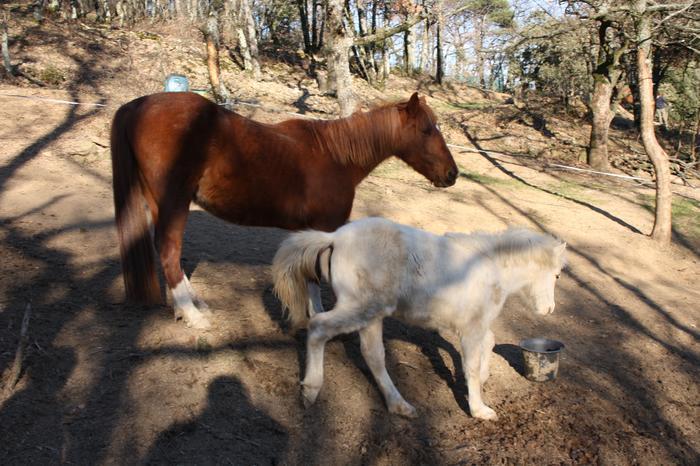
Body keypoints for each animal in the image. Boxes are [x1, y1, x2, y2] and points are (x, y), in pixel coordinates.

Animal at [111, 91, 456, 328]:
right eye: (427, 130)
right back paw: (193, 315)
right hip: (174, 201)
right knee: (169, 251)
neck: (335, 157)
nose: (452, 174)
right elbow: (315, 275)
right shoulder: (325, 228)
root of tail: (138, 104)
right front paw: (316, 317)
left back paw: (189, 306)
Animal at [270, 218, 568, 418]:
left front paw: (484, 378)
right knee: (318, 327)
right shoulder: (471, 328)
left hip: (372, 315)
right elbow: (471, 364)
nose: (549, 309)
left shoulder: (475, 325)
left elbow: (491, 341)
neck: (490, 266)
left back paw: (400, 406)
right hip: (361, 309)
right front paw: (479, 409)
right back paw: (310, 390)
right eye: (556, 276)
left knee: (373, 355)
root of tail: (335, 238)